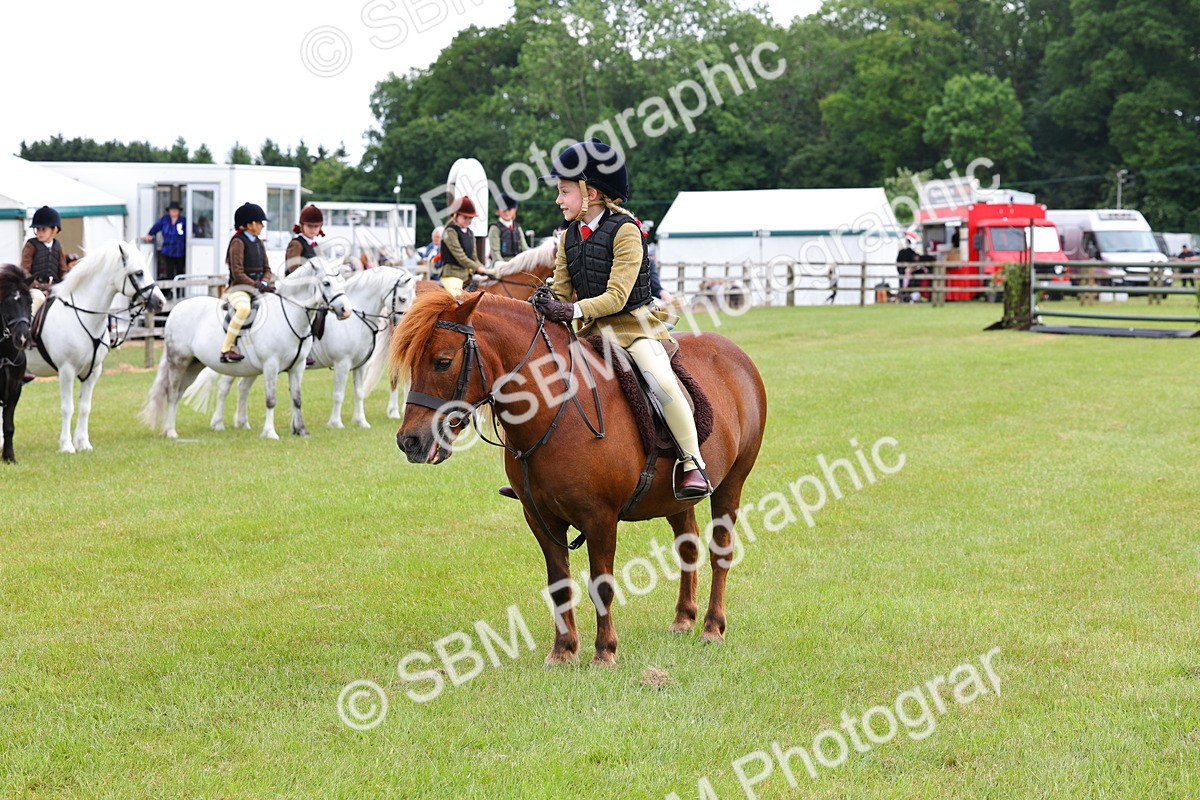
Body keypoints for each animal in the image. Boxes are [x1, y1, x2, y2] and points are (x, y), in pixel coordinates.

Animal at [25, 240, 166, 453]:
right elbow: (68, 408)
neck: (83, 316)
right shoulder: (66, 371)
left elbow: (85, 407)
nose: (161, 302)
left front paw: (83, 443)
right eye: (139, 272)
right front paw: (67, 445)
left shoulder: (93, 371)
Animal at [140, 258, 352, 440]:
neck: (288, 316)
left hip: (194, 365)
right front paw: (270, 433)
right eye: (326, 283)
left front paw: (301, 431)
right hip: (179, 361)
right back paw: (171, 432)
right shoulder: (271, 366)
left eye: (342, 281)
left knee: (180, 393)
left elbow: (297, 399)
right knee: (172, 393)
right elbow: (271, 400)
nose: (346, 310)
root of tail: (176, 308)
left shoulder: (298, 367)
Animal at [202, 266, 416, 430]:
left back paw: (242, 423)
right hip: (239, 364)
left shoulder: (359, 366)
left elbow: (359, 393)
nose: (404, 326)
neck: (355, 318)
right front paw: (336, 423)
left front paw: (361, 422)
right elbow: (338, 394)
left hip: (252, 367)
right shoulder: (342, 363)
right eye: (403, 299)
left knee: (242, 388)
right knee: (224, 388)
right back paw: (218, 423)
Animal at [390, 291, 768, 666]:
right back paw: (684, 619)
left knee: (720, 550)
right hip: (675, 500)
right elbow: (559, 584)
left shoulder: (600, 519)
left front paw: (604, 651)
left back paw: (712, 627)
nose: (410, 441)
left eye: (442, 362)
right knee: (688, 546)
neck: (557, 409)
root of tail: (734, 354)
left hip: (731, 484)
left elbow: (601, 584)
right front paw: (563, 650)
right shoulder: (541, 519)